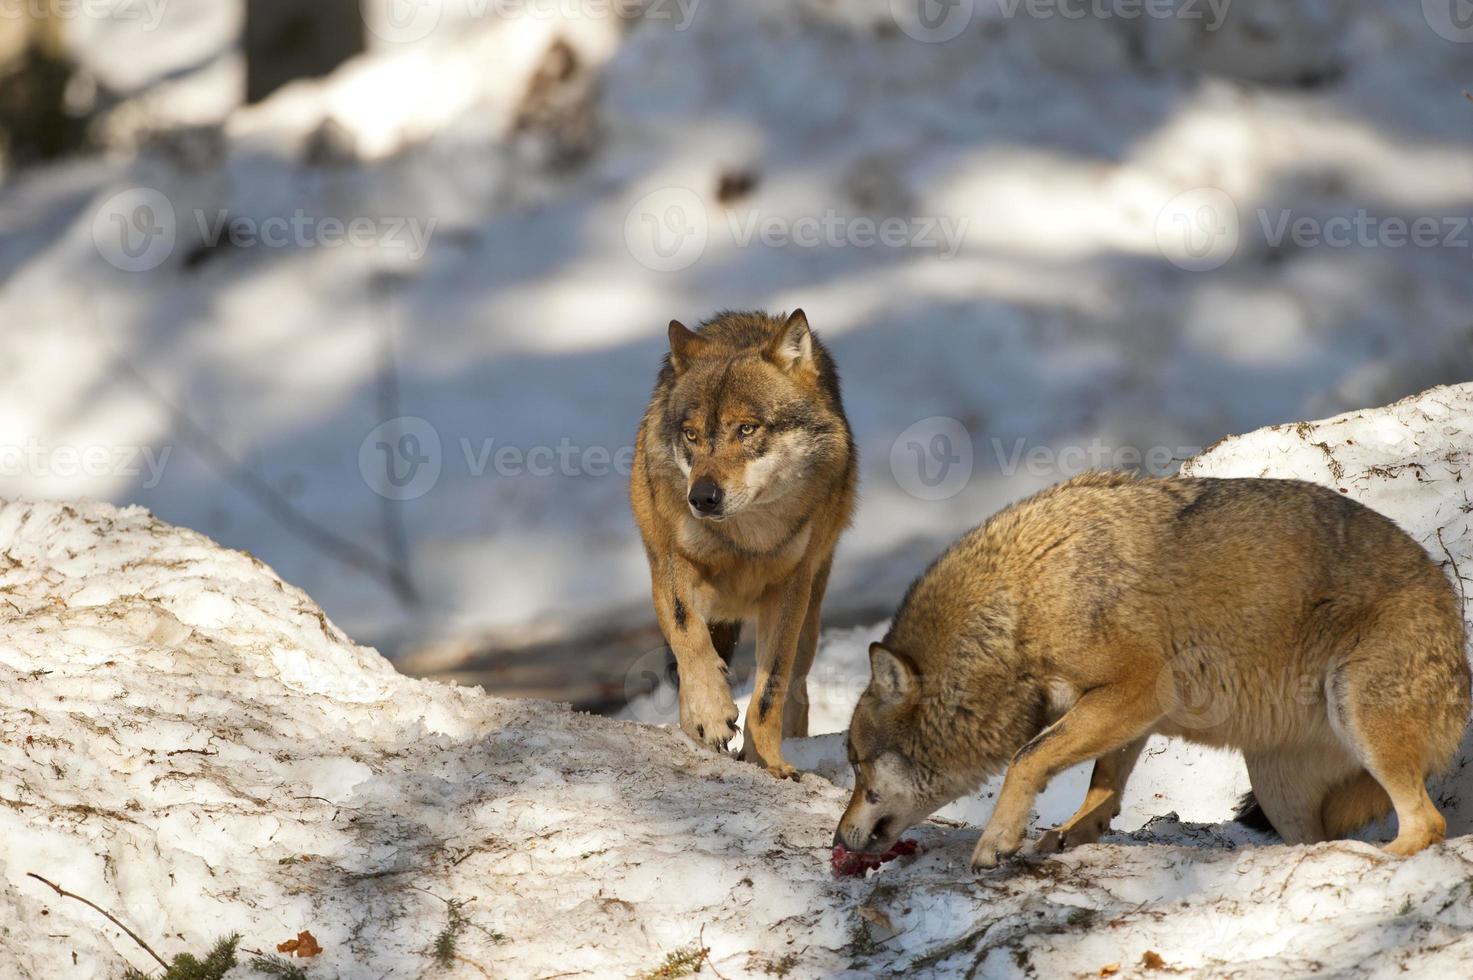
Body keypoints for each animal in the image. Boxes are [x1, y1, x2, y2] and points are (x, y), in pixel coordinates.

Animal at [630, 309, 860, 778]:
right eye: (692, 435)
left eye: (747, 429)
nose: (702, 497)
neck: (744, 539)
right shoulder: (671, 564)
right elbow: (688, 636)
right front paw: (711, 714)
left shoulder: (789, 590)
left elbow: (770, 690)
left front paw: (767, 761)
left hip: (811, 617)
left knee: (797, 689)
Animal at [836, 471, 1467, 866]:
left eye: (857, 764)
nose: (838, 839)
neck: (1018, 610)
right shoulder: (1130, 712)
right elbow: (1102, 786)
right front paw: (1072, 834)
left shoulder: (1136, 689)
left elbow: (1026, 759)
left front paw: (997, 843)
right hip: (1276, 788)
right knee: (1317, 837)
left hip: (1358, 719)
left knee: (1428, 824)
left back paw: (1377, 860)